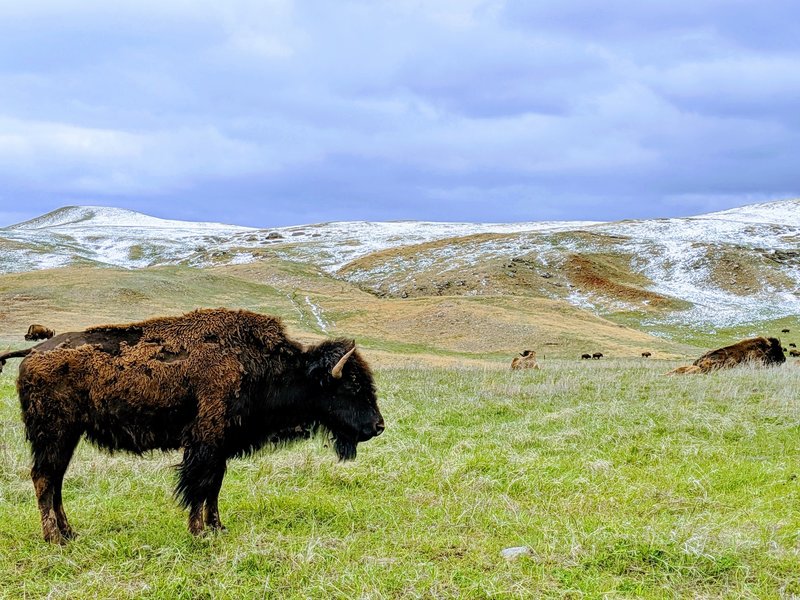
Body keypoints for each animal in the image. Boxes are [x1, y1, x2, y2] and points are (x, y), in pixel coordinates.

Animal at [0, 310, 384, 544]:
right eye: (352, 386)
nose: (378, 426)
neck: (259, 366)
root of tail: (33, 353)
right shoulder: (205, 443)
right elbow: (198, 486)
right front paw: (198, 532)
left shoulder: (221, 446)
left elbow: (214, 487)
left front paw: (218, 528)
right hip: (55, 434)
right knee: (44, 479)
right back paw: (55, 538)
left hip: (67, 437)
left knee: (55, 480)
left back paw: (70, 534)